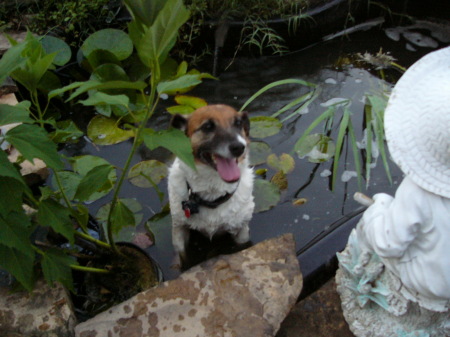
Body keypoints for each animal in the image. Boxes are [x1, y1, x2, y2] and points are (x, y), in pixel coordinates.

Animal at [168, 103, 255, 262]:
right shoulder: (179, 229)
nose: (239, 147)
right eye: (207, 126)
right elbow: (181, 255)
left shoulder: (241, 230)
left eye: (238, 123)